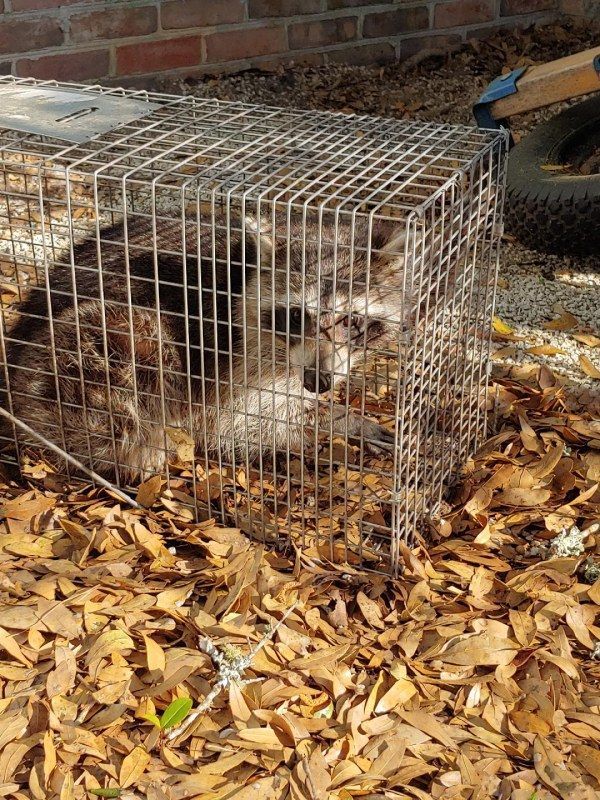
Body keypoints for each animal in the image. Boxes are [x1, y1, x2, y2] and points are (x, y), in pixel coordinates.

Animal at [3, 212, 410, 481]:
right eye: (296, 317)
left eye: (350, 322)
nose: (318, 382)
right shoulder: (235, 355)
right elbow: (243, 422)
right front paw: (338, 421)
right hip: (76, 352)